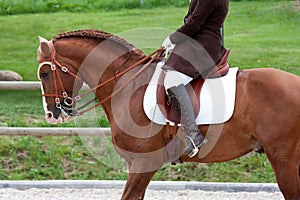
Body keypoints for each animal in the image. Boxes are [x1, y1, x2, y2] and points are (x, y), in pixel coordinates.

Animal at [37, 29, 300, 200]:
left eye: (44, 74)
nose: (50, 114)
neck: (128, 85)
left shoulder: (144, 163)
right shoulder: (138, 165)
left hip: (283, 159)